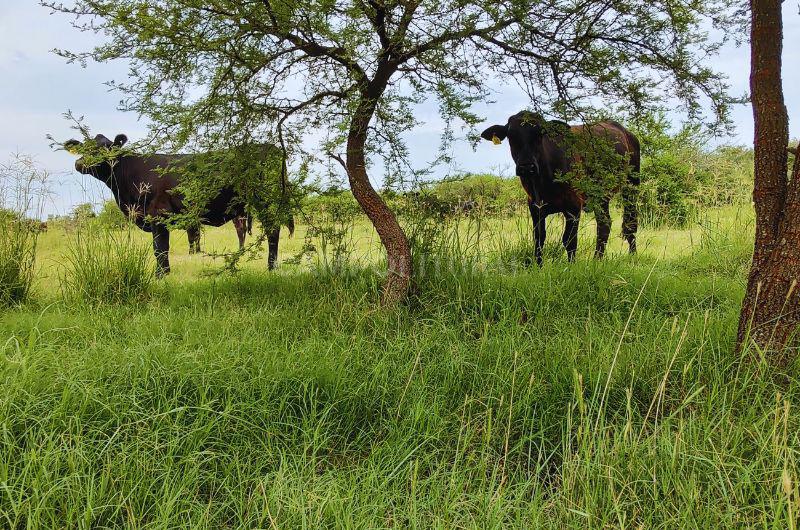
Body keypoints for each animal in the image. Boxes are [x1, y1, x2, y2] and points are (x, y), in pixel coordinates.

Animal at [64, 132, 292, 274]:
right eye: (84, 147)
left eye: (106, 148)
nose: (80, 163)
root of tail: (272, 147)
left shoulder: (158, 214)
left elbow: (160, 248)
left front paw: (160, 275)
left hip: (266, 199)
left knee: (273, 229)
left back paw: (271, 267)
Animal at [482, 110, 636, 262]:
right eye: (511, 136)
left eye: (540, 134)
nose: (527, 167)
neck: (542, 181)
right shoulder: (535, 207)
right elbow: (539, 238)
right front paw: (538, 265)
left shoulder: (574, 206)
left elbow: (569, 240)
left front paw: (571, 265)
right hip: (600, 196)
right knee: (604, 224)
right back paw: (597, 260)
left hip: (631, 185)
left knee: (630, 224)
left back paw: (632, 257)